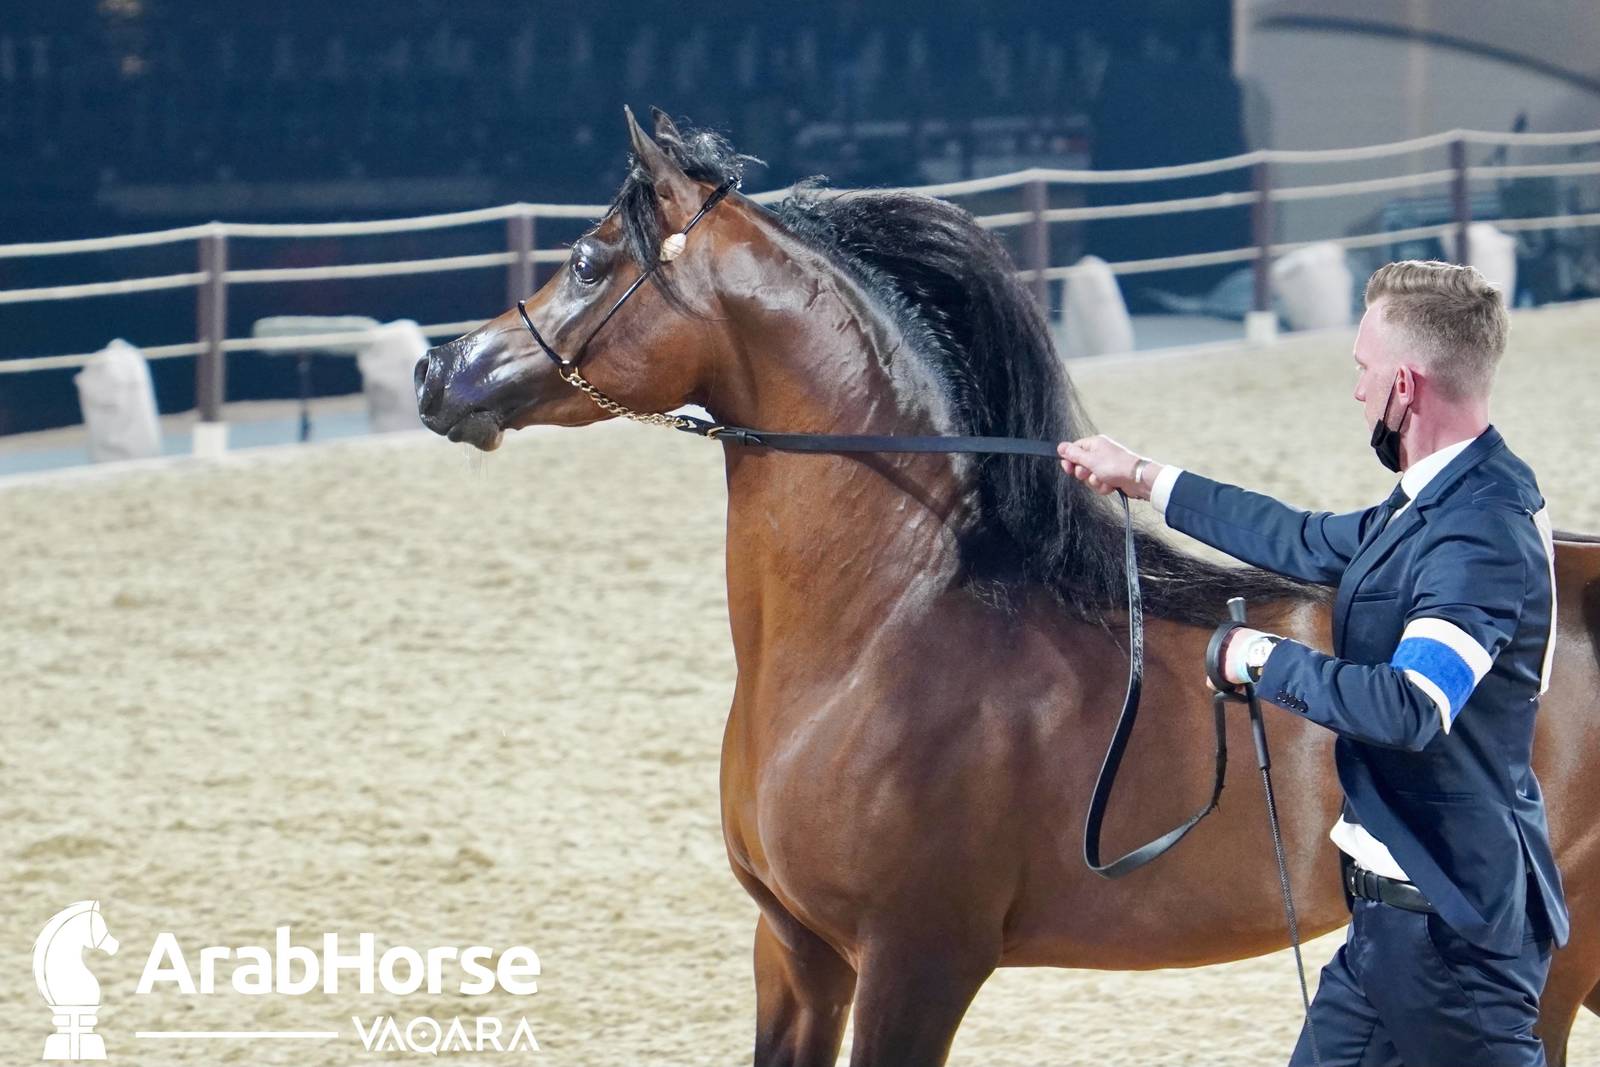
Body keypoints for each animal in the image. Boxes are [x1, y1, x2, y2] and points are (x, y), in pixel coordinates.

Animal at [414, 108, 1600, 1066]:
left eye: (585, 258)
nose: (438, 371)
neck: (877, 638)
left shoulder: (917, 960)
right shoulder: (795, 950)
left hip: (1558, 959)